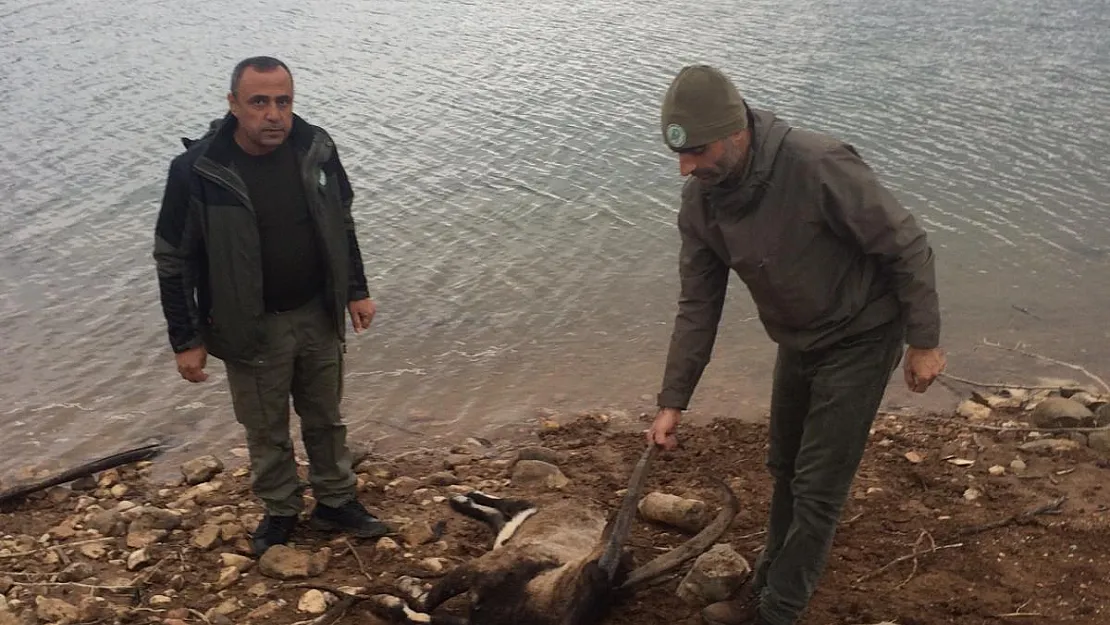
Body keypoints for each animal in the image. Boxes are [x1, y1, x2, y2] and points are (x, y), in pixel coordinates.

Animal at [370, 448, 737, 625]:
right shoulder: (475, 571)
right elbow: (430, 599)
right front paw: (403, 592)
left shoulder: (474, 614)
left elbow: (423, 613)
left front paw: (390, 603)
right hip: (521, 520)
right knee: (510, 504)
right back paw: (460, 498)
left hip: (511, 530)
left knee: (502, 517)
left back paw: (463, 500)